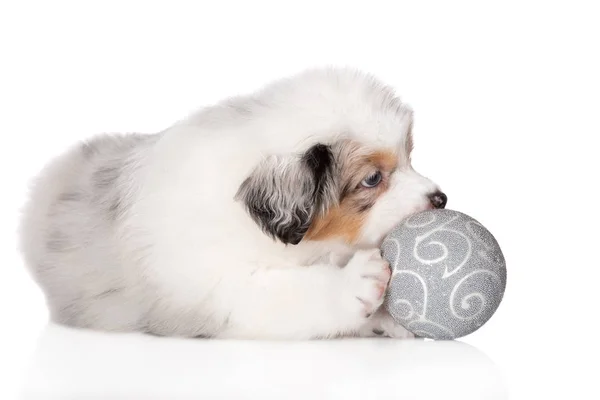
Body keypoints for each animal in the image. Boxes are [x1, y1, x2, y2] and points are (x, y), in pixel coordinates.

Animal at [18, 68, 446, 338]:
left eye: (409, 157)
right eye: (372, 179)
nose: (441, 199)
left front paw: (387, 320)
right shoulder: (218, 288)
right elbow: (287, 292)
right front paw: (352, 285)